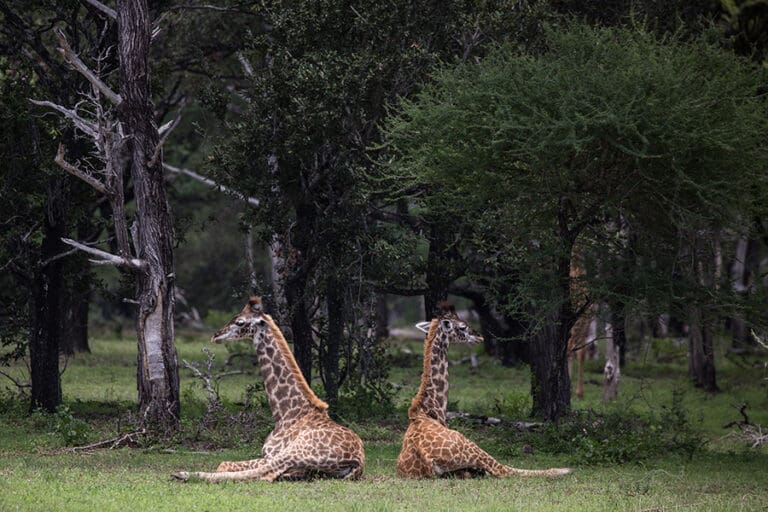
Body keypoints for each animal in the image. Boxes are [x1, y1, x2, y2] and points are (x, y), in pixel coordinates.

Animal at [172, 296, 364, 482]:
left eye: (240, 322)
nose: (216, 335)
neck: (287, 414)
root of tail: (358, 462)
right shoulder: (268, 454)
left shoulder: (272, 454)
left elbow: (225, 464)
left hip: (299, 450)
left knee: (265, 475)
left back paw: (182, 474)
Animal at [396, 304, 573, 478]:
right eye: (462, 327)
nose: (479, 337)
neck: (430, 409)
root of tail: (427, 460)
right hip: (469, 443)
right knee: (503, 470)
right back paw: (563, 469)